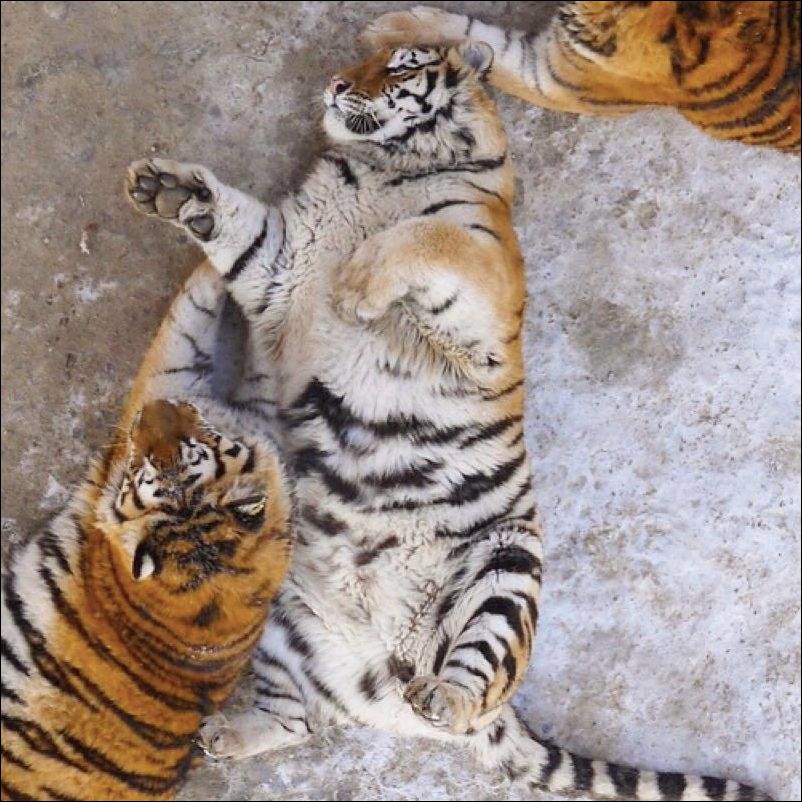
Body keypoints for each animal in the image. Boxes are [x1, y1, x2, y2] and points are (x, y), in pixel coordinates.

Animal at [123, 41, 772, 801]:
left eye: (400, 66)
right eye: (366, 59)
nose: (337, 84)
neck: (382, 170)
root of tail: (388, 663)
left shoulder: (480, 288)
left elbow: (428, 236)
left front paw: (357, 282)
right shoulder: (282, 260)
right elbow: (241, 223)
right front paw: (169, 189)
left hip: (506, 571)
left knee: (471, 683)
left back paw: (442, 697)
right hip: (286, 614)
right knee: (296, 718)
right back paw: (225, 735)